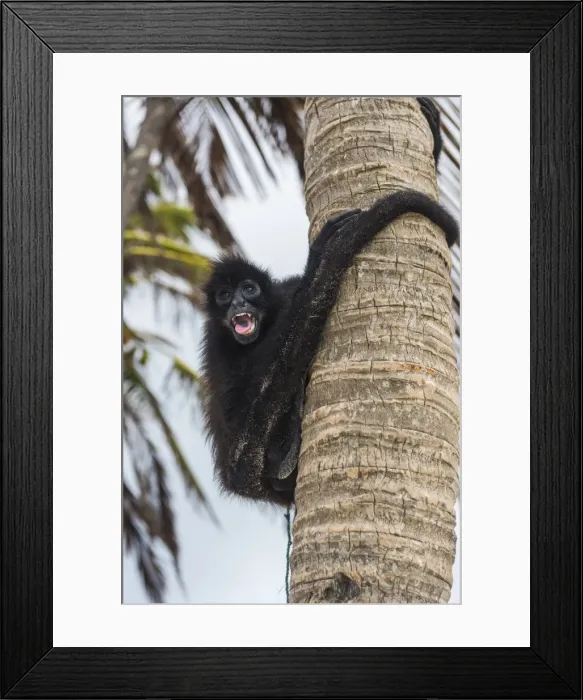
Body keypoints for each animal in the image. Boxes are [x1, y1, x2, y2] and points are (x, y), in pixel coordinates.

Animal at [201, 99, 458, 507]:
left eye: (249, 289)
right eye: (225, 296)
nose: (237, 302)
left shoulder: (281, 293)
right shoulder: (217, 342)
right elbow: (240, 414)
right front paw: (320, 254)